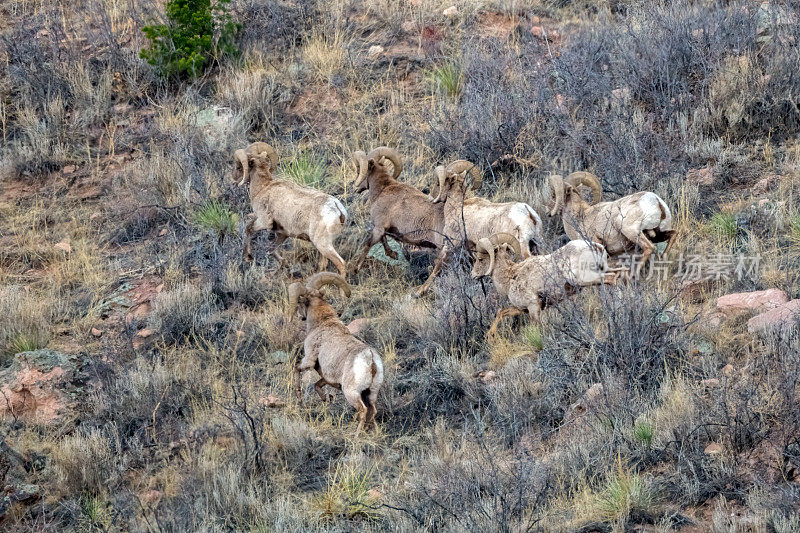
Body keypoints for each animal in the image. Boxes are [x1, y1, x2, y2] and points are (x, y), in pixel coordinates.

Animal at [230, 141, 346, 274]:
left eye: (239, 167)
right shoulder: (282, 233)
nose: (233, 179)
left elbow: (248, 229)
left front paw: (248, 257)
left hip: (323, 245)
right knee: (324, 264)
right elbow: (271, 250)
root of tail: (337, 209)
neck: (263, 188)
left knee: (341, 264)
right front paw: (283, 264)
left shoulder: (264, 222)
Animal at [290, 272, 386, 434]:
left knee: (363, 410)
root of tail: (370, 360)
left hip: (351, 393)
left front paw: (299, 396)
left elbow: (296, 368)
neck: (323, 322)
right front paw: (325, 398)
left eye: (300, 304)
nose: (300, 317)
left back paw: (356, 435)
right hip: (371, 393)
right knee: (373, 410)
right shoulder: (328, 378)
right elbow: (317, 385)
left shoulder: (309, 360)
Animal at [472, 234, 608, 336]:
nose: (472, 275)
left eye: (480, 259)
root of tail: (597, 247)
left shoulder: (533, 307)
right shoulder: (522, 309)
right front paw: (490, 336)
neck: (511, 277)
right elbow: (501, 312)